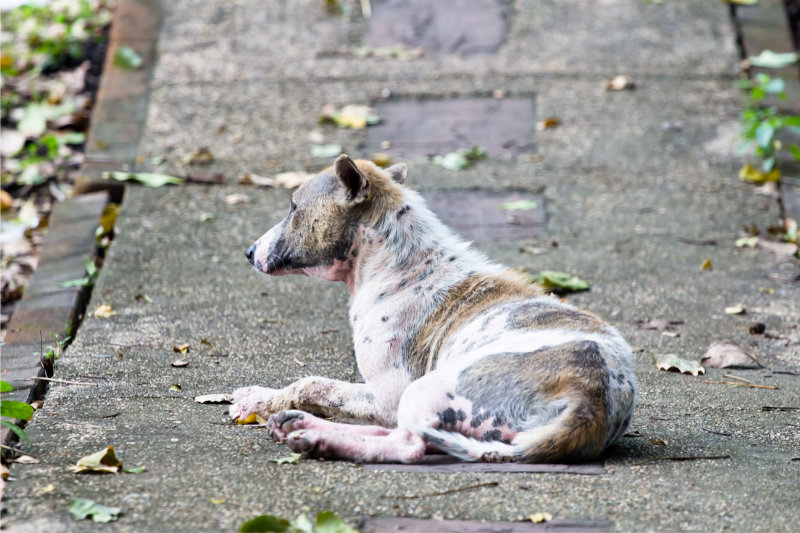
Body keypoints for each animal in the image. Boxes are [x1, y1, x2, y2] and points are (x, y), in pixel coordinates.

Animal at [231, 153, 636, 462]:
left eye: (293, 208)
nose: (248, 252)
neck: (400, 265)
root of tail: (589, 404)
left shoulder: (387, 395)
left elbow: (313, 384)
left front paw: (258, 399)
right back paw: (301, 426)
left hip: (425, 392)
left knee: (408, 444)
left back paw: (317, 438)